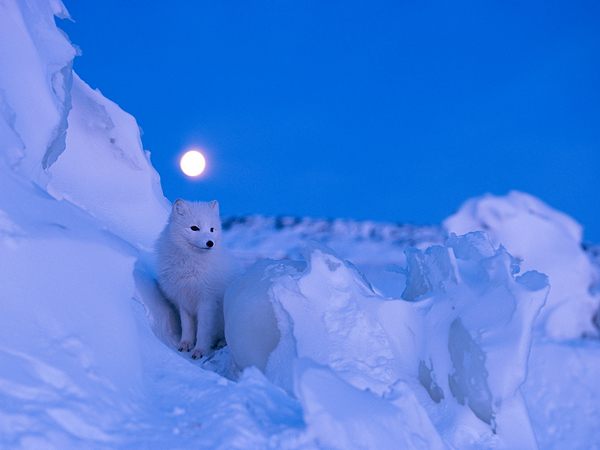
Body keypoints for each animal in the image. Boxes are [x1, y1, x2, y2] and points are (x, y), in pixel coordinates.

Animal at [156, 200, 243, 358]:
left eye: (212, 229)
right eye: (194, 228)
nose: (210, 243)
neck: (190, 266)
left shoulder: (207, 301)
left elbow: (204, 329)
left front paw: (200, 350)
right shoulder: (183, 299)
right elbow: (186, 326)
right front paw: (185, 344)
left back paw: (221, 342)